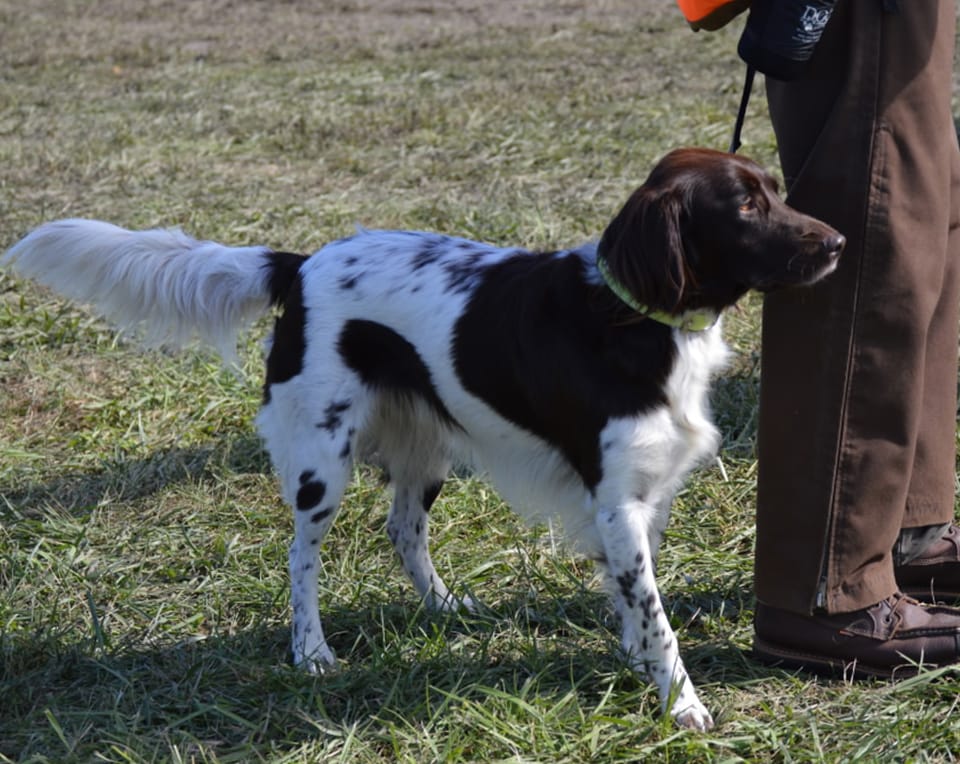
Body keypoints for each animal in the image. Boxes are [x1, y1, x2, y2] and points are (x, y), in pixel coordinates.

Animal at [1, 148, 840, 728]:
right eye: (744, 205)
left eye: (775, 191)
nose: (836, 241)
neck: (633, 317)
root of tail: (301, 265)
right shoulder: (617, 502)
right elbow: (659, 621)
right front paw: (682, 705)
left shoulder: (641, 494)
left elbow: (636, 602)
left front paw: (639, 664)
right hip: (323, 461)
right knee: (301, 556)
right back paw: (311, 652)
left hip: (429, 445)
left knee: (402, 526)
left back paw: (443, 608)